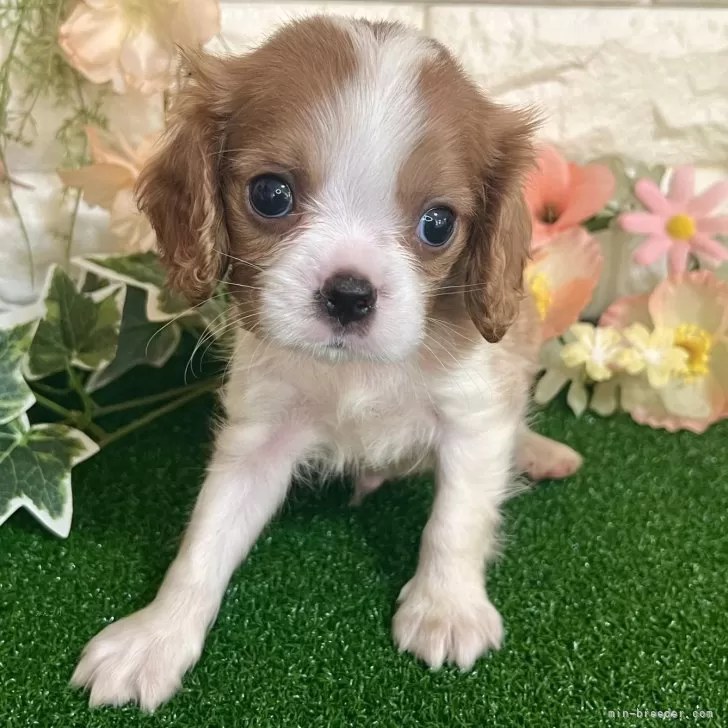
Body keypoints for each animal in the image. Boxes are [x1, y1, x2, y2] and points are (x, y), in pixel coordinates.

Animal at [69, 17, 580, 712]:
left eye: (438, 224)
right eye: (270, 194)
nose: (349, 294)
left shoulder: (473, 417)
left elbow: (456, 519)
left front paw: (445, 608)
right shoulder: (259, 434)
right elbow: (205, 539)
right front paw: (156, 636)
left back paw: (540, 453)